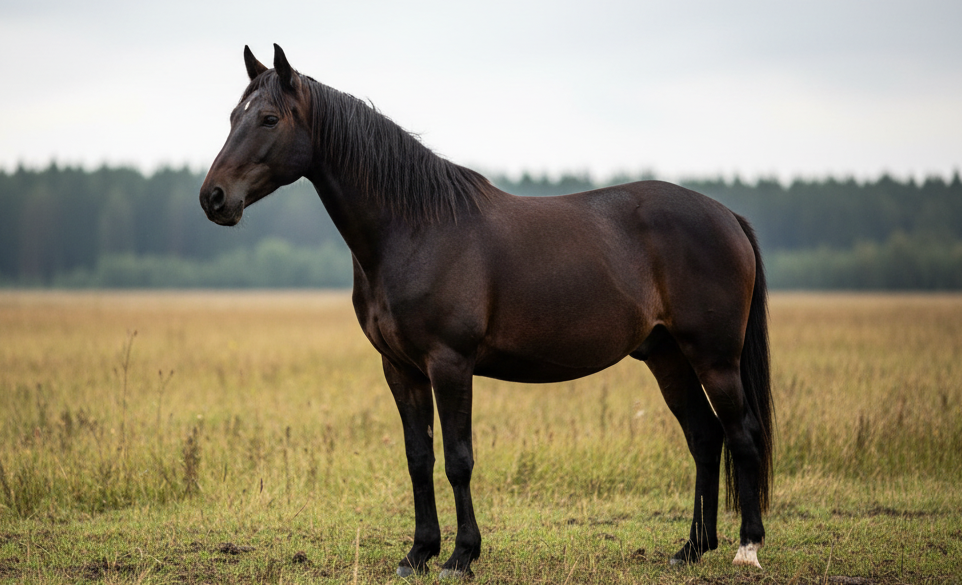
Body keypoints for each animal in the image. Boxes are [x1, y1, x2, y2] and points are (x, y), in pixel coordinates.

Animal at [200, 44, 774, 578]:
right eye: (232, 116)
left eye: (268, 119)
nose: (214, 198)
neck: (414, 229)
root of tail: (727, 216)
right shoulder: (400, 369)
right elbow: (418, 457)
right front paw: (418, 553)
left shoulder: (450, 363)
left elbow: (459, 459)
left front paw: (461, 556)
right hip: (667, 356)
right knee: (705, 438)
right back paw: (691, 548)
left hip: (714, 358)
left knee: (741, 434)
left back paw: (747, 548)